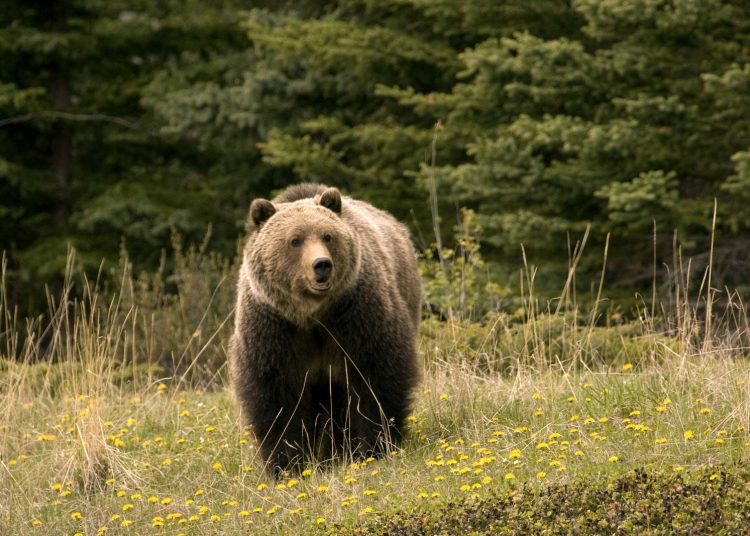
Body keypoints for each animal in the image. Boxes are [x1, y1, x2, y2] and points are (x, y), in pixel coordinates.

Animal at [229, 183, 421, 473]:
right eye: (295, 240)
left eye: (328, 236)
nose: (322, 264)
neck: (312, 315)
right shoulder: (274, 329)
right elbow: (276, 398)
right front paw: (287, 463)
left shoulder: (355, 316)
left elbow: (375, 378)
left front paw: (373, 447)